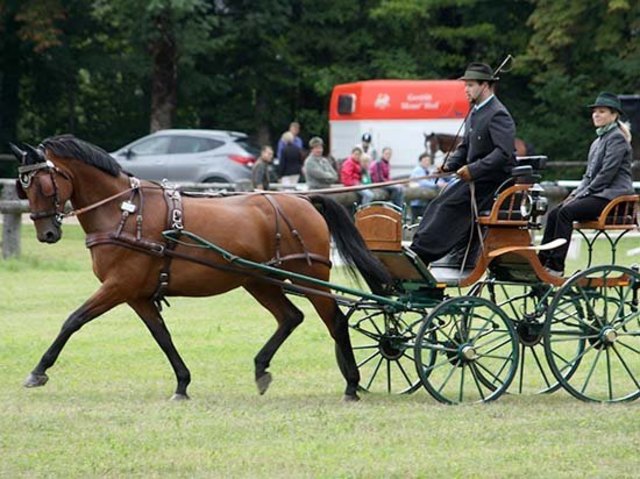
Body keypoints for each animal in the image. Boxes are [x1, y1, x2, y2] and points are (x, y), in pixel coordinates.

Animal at [10, 135, 390, 402]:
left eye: (43, 184)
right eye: (23, 188)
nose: (47, 233)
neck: (124, 212)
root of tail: (303, 199)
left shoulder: (118, 286)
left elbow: (73, 320)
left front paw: (38, 371)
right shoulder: (137, 295)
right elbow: (162, 336)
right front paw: (182, 383)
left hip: (311, 277)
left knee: (335, 321)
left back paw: (352, 385)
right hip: (258, 279)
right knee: (290, 317)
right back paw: (262, 368)